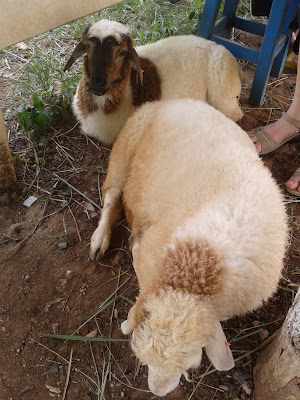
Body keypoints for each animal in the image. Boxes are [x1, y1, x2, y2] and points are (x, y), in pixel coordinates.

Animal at [88, 98, 288, 396]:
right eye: (140, 355)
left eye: (192, 365)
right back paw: (100, 238)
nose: (158, 391)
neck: (202, 261)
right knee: (112, 196)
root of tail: (176, 100)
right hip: (124, 147)